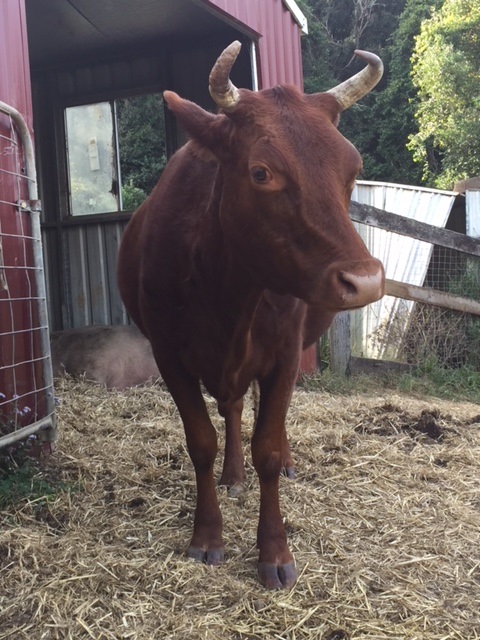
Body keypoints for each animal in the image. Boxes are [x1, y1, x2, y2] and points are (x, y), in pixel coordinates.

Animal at [117, 41, 386, 592]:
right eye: (262, 171)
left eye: (353, 169)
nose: (366, 280)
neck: (227, 291)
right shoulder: (169, 355)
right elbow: (201, 441)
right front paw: (207, 536)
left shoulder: (283, 354)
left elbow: (268, 445)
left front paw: (275, 551)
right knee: (234, 408)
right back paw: (232, 476)